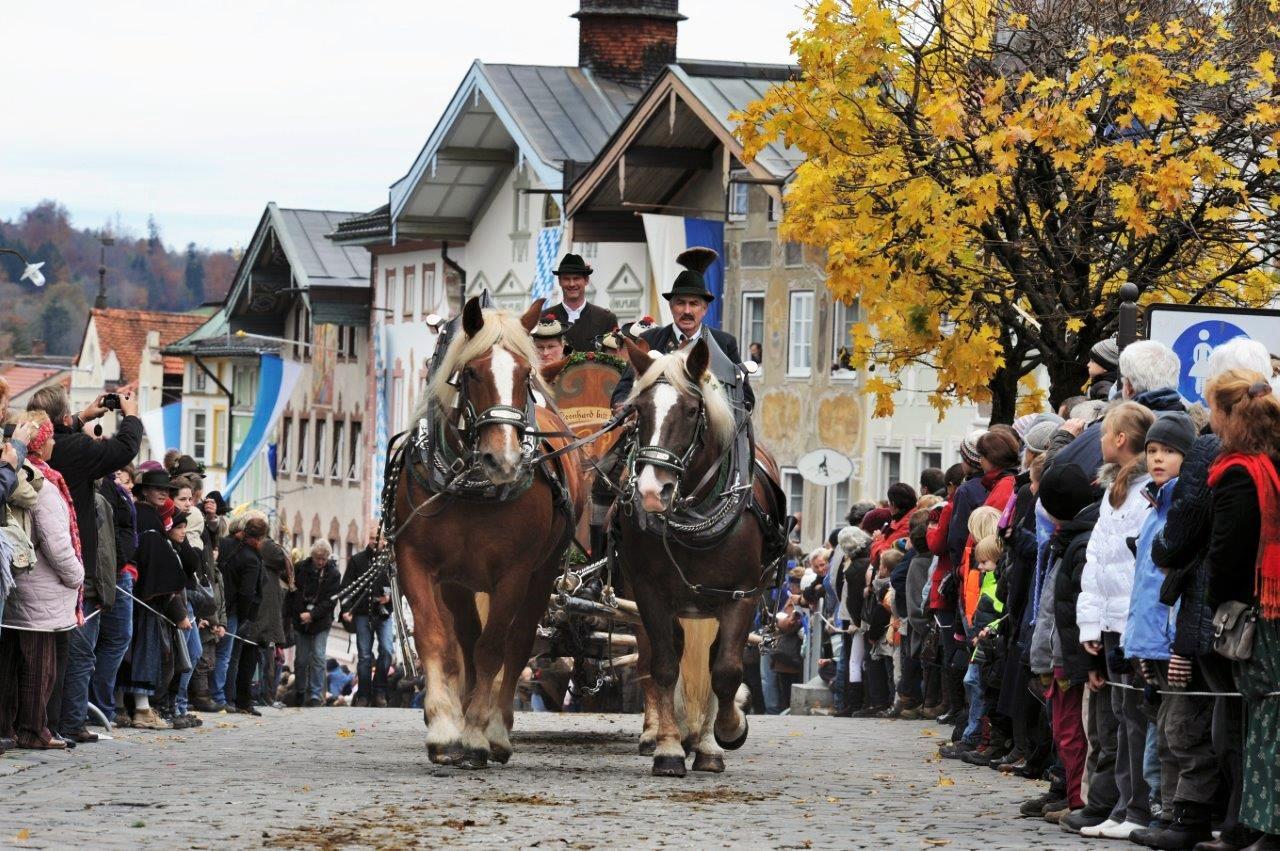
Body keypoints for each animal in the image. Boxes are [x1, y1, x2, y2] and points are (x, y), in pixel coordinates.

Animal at [611, 335, 778, 772]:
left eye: (690, 410)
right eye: (638, 410)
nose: (652, 491)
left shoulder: (741, 594)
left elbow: (726, 670)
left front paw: (729, 731)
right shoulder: (649, 593)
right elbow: (664, 667)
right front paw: (669, 748)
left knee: (715, 661)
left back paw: (706, 744)